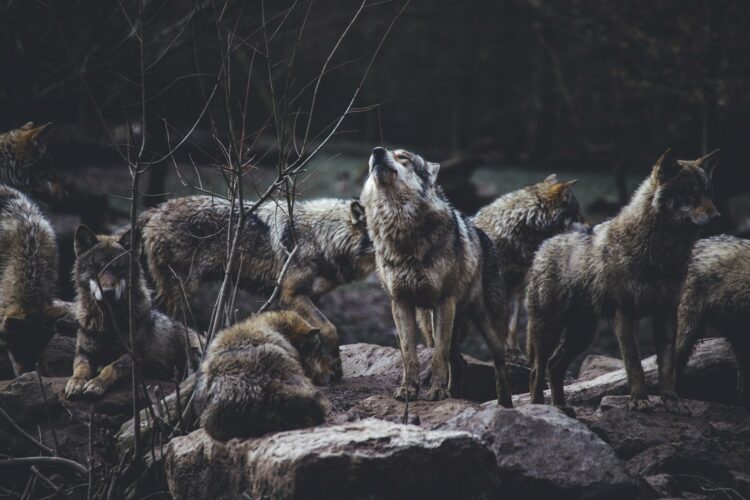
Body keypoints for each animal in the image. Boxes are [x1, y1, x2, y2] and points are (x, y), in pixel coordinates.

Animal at [65, 225, 202, 399]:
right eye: (97, 268)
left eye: (119, 269)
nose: (108, 292)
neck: (109, 322)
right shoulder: (83, 353)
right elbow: (80, 369)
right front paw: (75, 382)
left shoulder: (134, 357)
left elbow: (111, 367)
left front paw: (96, 384)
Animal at [139, 196, 374, 381]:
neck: (323, 236)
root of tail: (155, 210)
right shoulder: (291, 295)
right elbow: (330, 328)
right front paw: (335, 367)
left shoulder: (312, 297)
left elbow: (317, 334)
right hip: (181, 292)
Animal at [360, 146, 512, 406]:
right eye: (383, 151)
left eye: (403, 157)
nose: (377, 151)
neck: (400, 231)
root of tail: (484, 235)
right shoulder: (400, 303)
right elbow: (409, 355)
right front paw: (408, 390)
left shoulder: (443, 303)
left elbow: (438, 357)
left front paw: (438, 392)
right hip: (431, 324)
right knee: (458, 360)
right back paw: (456, 395)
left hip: (487, 328)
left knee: (499, 366)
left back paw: (505, 405)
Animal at [526, 149, 719, 413]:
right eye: (691, 194)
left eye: (708, 193)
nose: (717, 216)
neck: (660, 251)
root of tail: (542, 247)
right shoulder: (625, 314)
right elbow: (634, 364)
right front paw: (639, 401)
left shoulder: (666, 314)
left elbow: (667, 367)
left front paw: (672, 402)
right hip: (550, 330)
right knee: (537, 370)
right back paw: (540, 408)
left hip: (583, 334)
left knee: (554, 365)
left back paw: (561, 408)